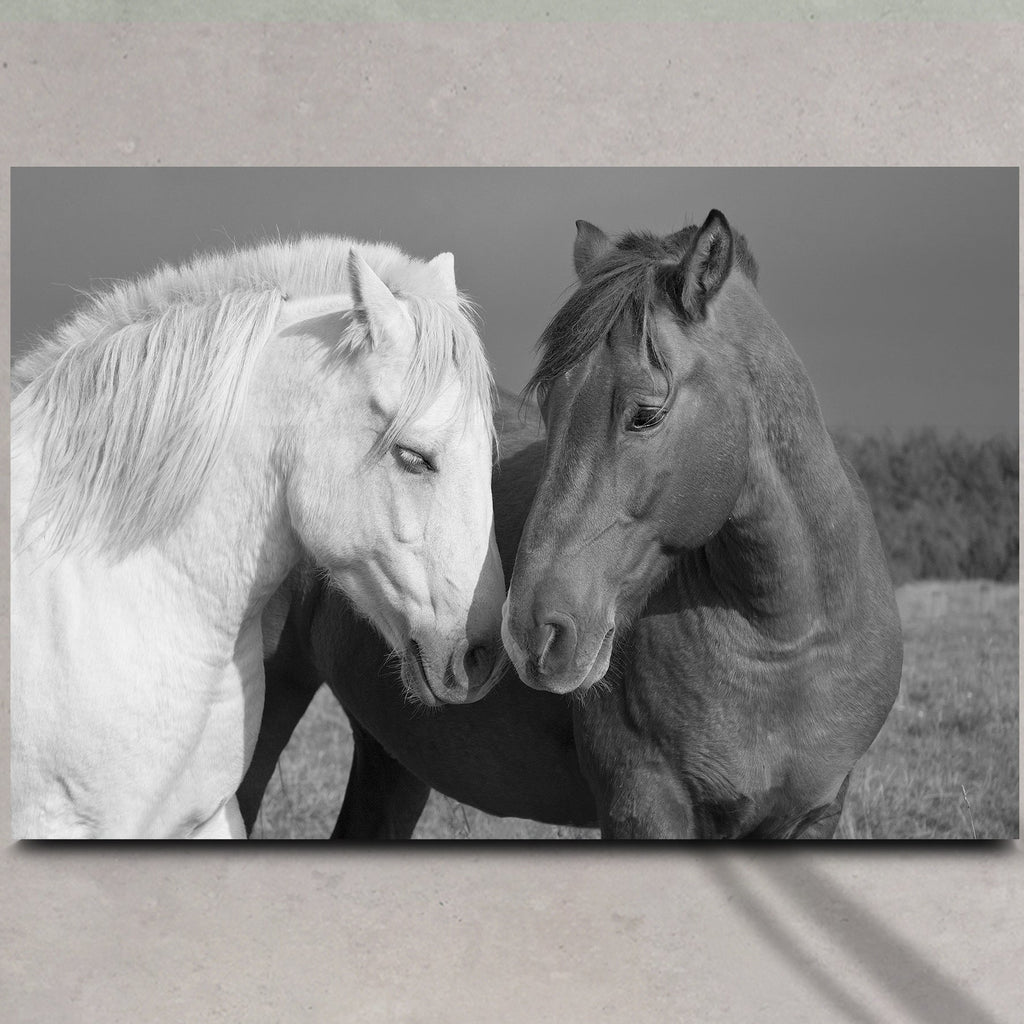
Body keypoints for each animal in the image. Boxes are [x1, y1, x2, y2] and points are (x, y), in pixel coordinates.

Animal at [239, 213, 902, 840]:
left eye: (646, 414)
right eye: (549, 406)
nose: (533, 632)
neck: (785, 639)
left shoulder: (812, 815)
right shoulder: (644, 806)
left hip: (392, 754)